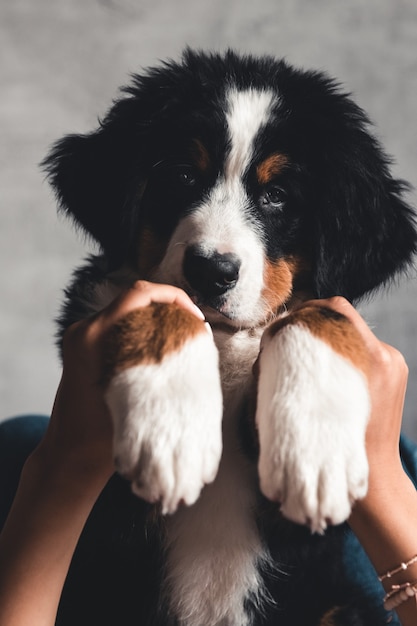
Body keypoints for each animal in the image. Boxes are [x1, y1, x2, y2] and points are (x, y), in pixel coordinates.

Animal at [44, 48, 414, 624]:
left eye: (277, 196)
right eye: (181, 176)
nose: (210, 271)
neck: (226, 342)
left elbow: (312, 314)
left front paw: (315, 452)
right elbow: (162, 300)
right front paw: (171, 435)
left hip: (348, 608)